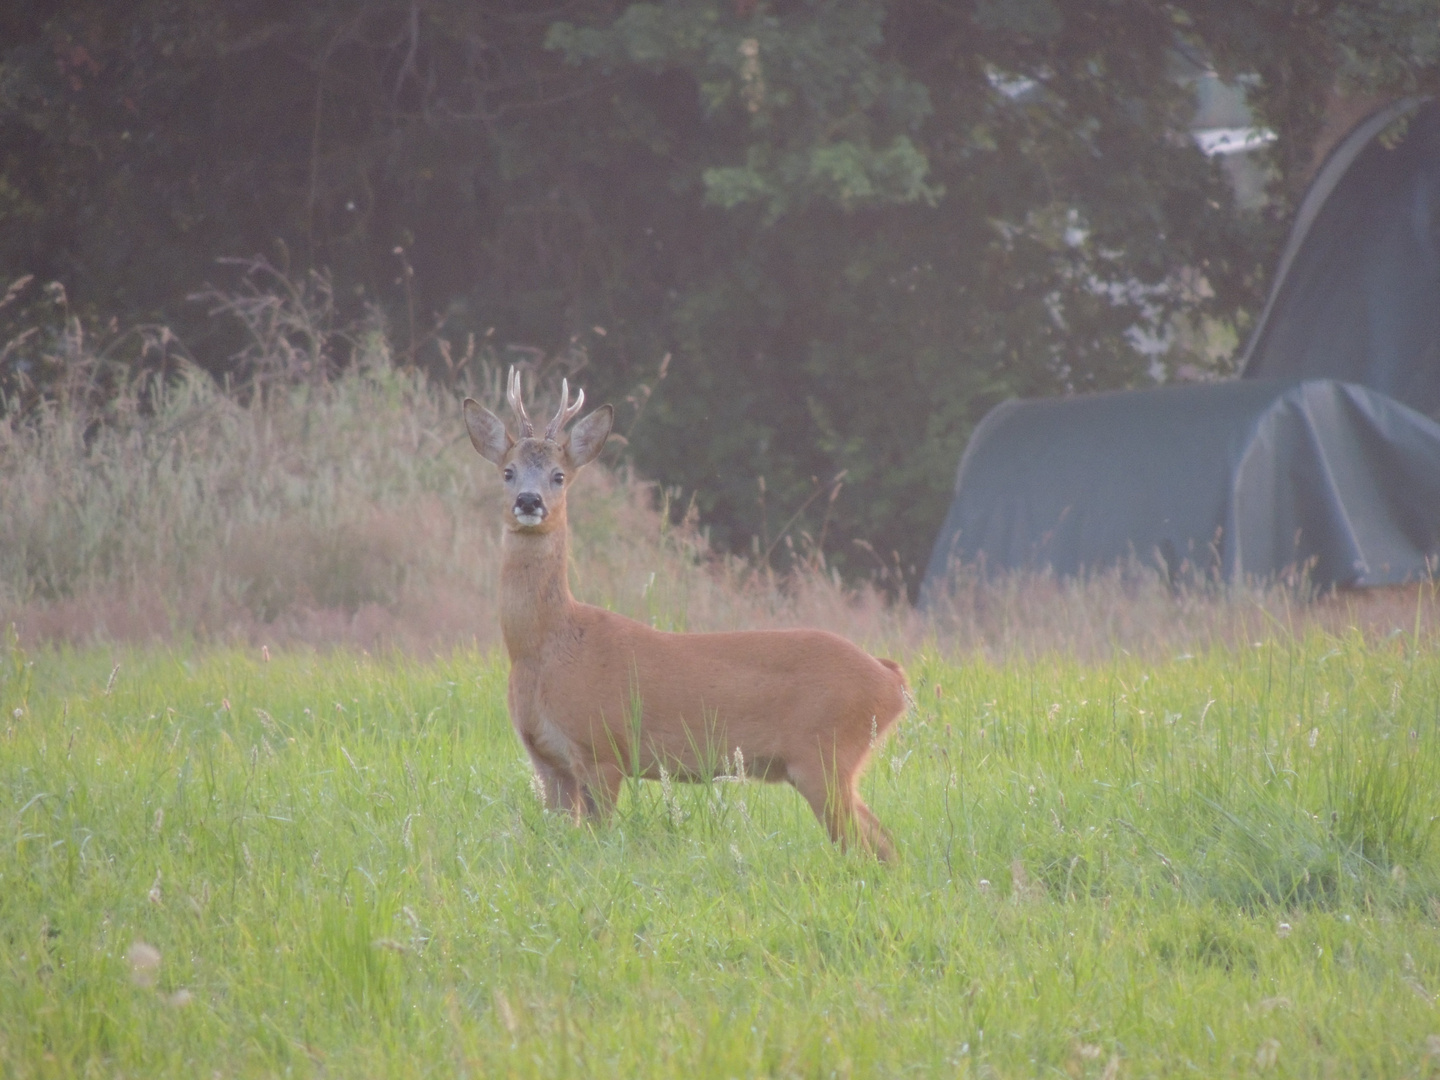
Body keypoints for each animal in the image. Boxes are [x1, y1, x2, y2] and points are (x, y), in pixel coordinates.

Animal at [466, 371, 904, 864]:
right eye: (508, 471)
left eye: (559, 475)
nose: (528, 501)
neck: (547, 646)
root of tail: (892, 680)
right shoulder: (547, 761)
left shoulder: (604, 750)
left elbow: (599, 841)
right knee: (885, 844)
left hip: (825, 756)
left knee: (873, 846)